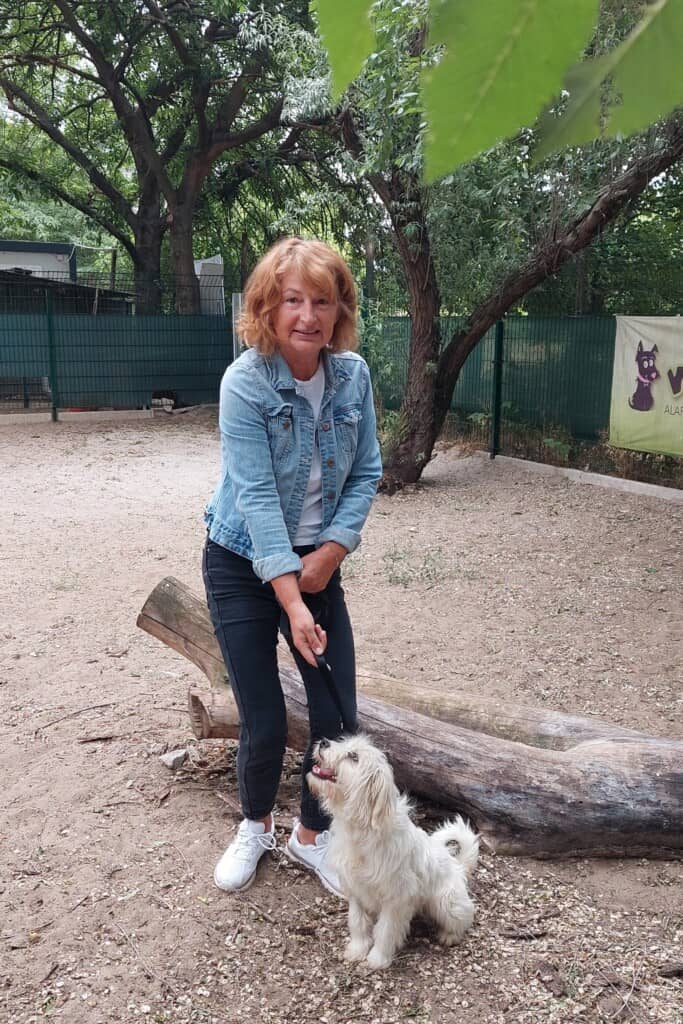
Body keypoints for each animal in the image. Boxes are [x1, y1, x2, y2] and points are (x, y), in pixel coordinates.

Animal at [308, 733, 479, 970]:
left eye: (353, 756)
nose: (323, 742)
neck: (362, 832)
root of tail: (458, 866)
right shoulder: (356, 893)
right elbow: (358, 923)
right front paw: (357, 950)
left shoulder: (395, 900)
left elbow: (385, 931)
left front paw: (377, 959)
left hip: (446, 903)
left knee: (465, 917)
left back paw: (449, 935)